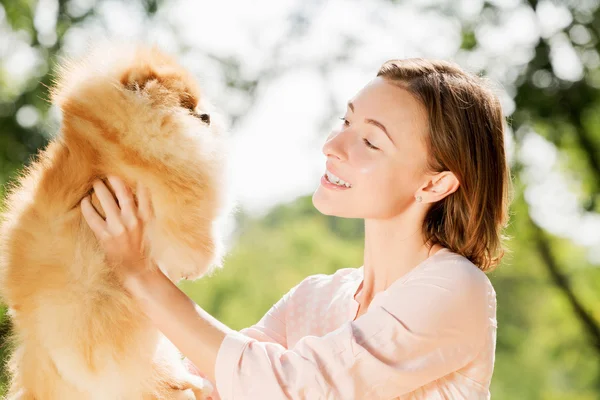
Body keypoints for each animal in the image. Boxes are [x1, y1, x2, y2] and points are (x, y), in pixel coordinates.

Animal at [0, 42, 234, 398]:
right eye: (187, 105)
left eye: (196, 106)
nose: (206, 116)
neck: (114, 133)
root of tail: (38, 348)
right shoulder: (171, 190)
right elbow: (192, 231)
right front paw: (199, 264)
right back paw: (188, 384)